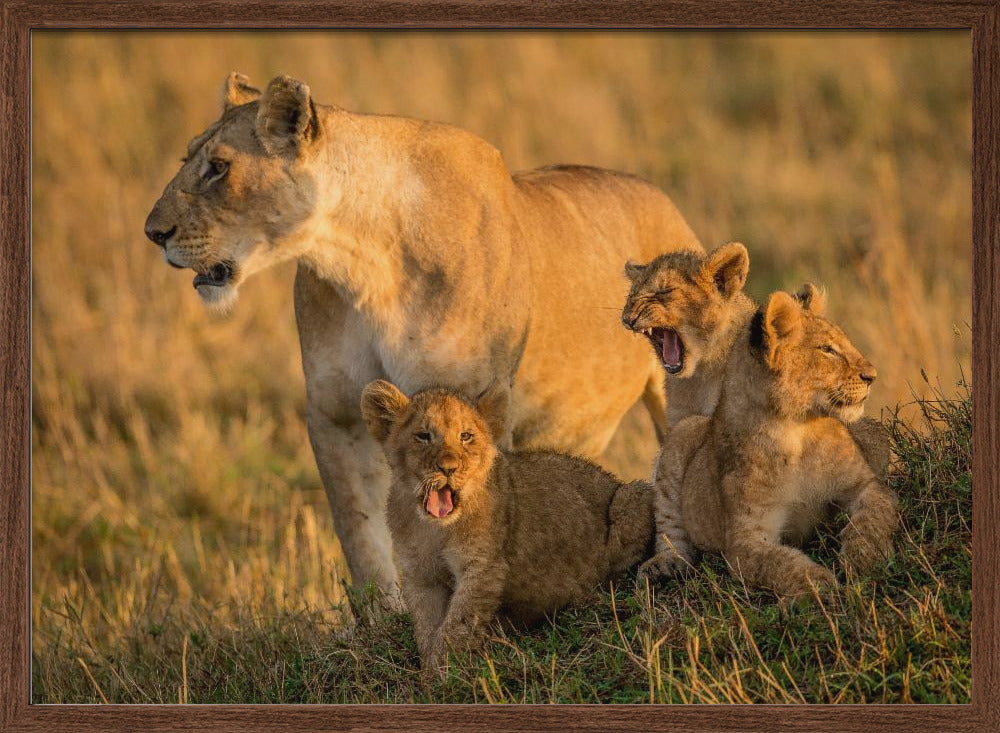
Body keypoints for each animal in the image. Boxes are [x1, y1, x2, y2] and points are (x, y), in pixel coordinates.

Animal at [143, 73, 703, 599]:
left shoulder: (474, 404)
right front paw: (383, 618)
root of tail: (665, 200)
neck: (364, 262)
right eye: (189, 158)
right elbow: (362, 536)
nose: (153, 233)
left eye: (219, 167)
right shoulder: (335, 412)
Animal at [360, 379, 653, 674]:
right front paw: (431, 671)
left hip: (633, 496)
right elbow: (427, 628)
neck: (435, 529)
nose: (449, 468)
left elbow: (456, 626)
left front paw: (444, 672)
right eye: (423, 436)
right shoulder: (420, 576)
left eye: (465, 436)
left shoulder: (482, 568)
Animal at [638, 286, 899, 598]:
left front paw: (863, 561)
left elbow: (873, 518)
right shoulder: (745, 541)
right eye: (827, 350)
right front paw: (821, 586)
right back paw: (663, 566)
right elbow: (780, 564)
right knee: (669, 527)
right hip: (684, 431)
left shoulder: (865, 486)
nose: (872, 376)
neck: (797, 430)